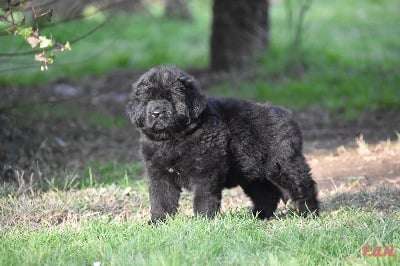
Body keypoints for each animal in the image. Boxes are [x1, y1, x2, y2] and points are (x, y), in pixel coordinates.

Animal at [126, 66, 320, 222]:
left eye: (170, 98)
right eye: (147, 100)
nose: (156, 112)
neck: (173, 139)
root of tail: (287, 115)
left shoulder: (206, 171)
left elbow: (204, 198)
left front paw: (203, 220)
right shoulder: (159, 173)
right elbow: (161, 199)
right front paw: (158, 222)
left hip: (283, 164)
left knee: (303, 185)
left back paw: (309, 213)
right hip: (252, 173)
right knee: (267, 194)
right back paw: (257, 216)